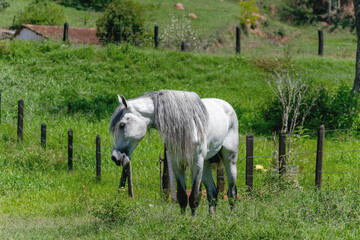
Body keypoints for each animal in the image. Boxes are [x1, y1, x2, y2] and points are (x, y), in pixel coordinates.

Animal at [109, 90, 239, 216]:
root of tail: (226, 105)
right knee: (213, 193)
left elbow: (194, 198)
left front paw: (193, 221)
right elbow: (182, 197)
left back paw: (231, 218)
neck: (186, 127)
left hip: (229, 159)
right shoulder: (176, 164)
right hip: (206, 164)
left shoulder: (196, 164)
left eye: (122, 124)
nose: (115, 157)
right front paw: (183, 220)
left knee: (232, 193)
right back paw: (212, 219)